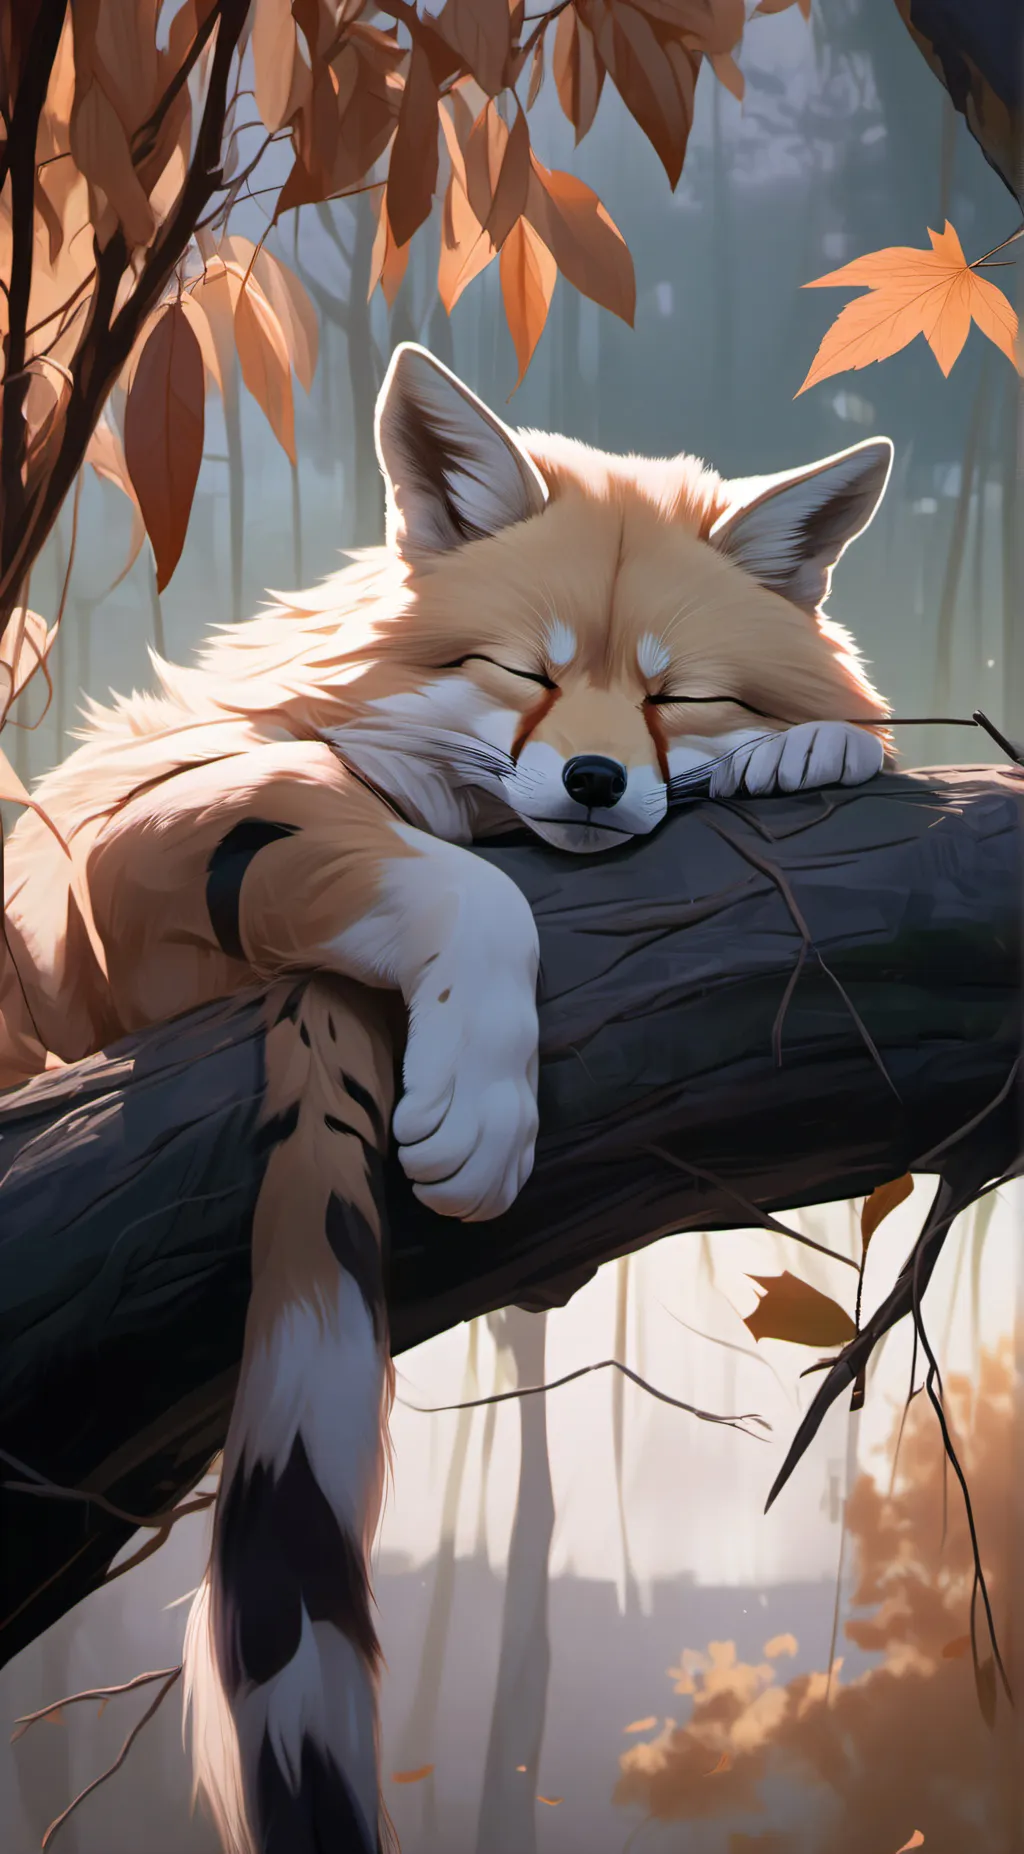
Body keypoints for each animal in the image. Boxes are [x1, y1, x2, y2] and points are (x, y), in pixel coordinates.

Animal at [0, 343, 893, 1852]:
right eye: (521, 670)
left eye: (681, 698)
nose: (593, 779)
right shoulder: (134, 852)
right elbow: (451, 881)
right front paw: (478, 1099)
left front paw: (815, 751)